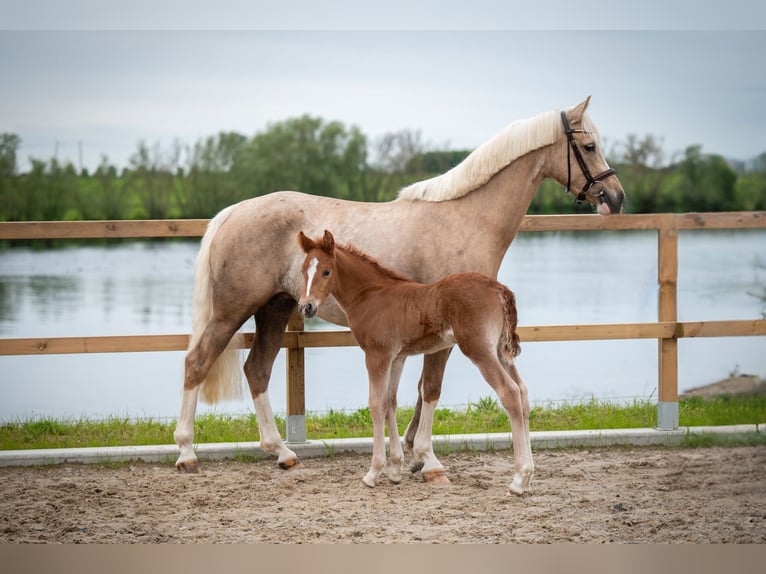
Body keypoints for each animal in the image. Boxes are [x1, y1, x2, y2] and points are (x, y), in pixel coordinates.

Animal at [300, 230, 536, 496]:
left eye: (326, 271)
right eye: (303, 270)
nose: (306, 307)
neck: (370, 295)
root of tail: (498, 289)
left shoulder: (376, 354)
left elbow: (376, 404)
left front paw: (373, 472)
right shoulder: (397, 357)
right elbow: (390, 403)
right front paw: (395, 470)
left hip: (479, 350)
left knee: (510, 392)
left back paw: (518, 480)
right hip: (500, 352)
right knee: (523, 392)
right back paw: (528, 479)